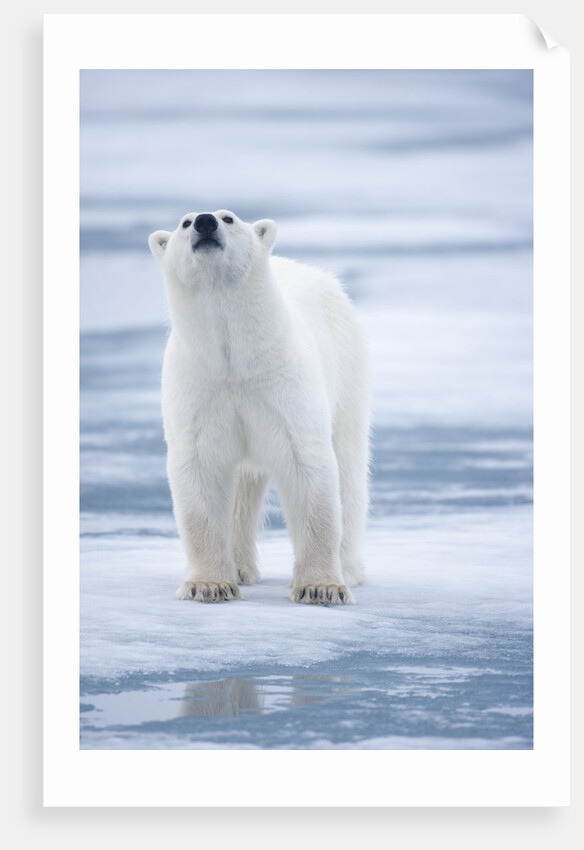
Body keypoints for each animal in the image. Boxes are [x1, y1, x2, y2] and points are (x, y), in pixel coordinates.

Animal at [148, 210, 370, 605]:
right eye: (185, 222)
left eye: (229, 218)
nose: (205, 222)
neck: (235, 360)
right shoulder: (200, 387)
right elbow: (200, 471)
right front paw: (209, 585)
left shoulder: (283, 384)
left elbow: (309, 469)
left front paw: (321, 587)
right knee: (240, 486)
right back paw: (239, 568)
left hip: (348, 373)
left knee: (349, 471)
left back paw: (348, 568)